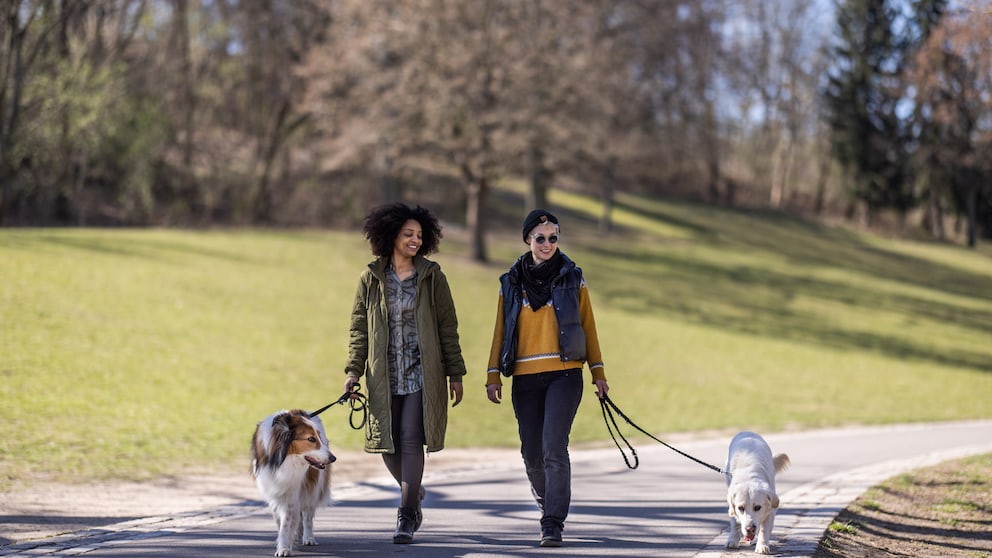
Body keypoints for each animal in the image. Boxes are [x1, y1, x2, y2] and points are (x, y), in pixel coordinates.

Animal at [250, 410, 336, 556]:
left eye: (318, 437)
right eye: (311, 439)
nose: (333, 458)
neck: (285, 460)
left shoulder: (292, 493)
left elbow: (287, 523)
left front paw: (284, 548)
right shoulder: (273, 491)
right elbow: (280, 521)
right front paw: (286, 543)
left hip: (312, 488)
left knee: (307, 516)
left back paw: (308, 538)